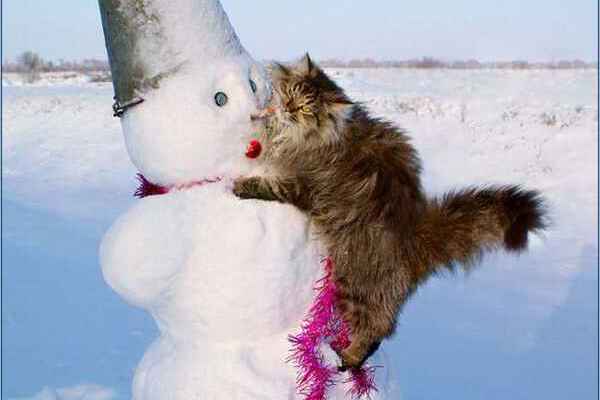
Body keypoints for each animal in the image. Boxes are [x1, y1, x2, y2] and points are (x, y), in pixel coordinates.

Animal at [234, 54, 548, 370]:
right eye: (292, 92)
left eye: (306, 108)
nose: (288, 107)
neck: (323, 137)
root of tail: (416, 235)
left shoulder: (302, 185)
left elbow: (269, 185)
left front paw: (241, 184)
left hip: (353, 283)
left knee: (377, 328)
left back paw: (348, 357)